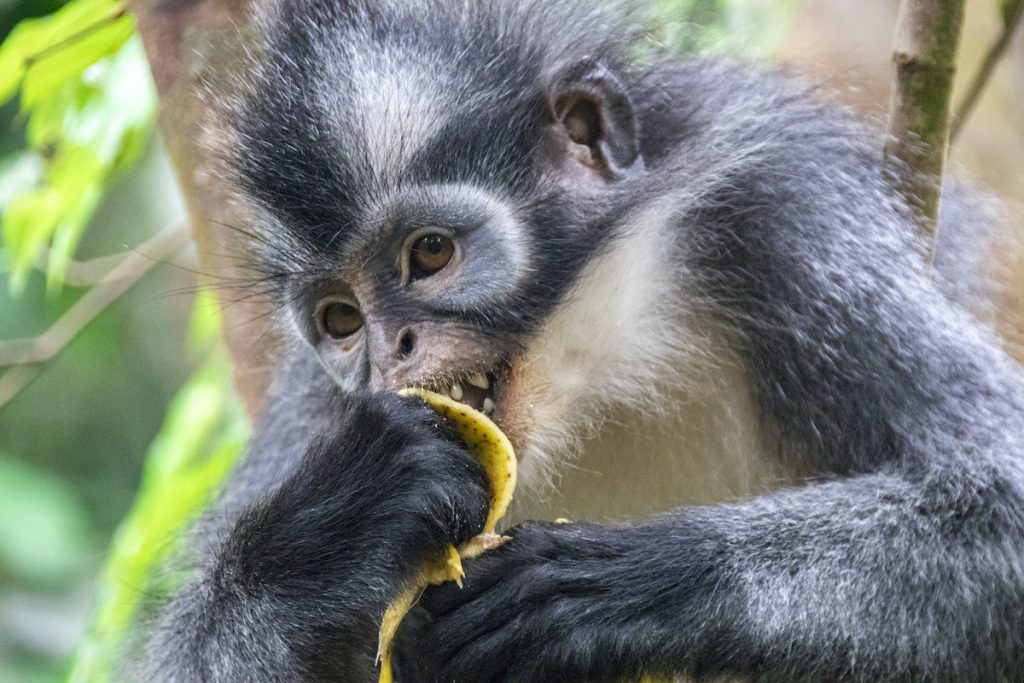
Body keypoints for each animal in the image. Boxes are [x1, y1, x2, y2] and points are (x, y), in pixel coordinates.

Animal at [140, 1, 1024, 683]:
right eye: (341, 320)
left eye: (430, 254)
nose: (393, 350)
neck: (601, 356)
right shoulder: (323, 401)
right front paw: (342, 517)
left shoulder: (782, 211)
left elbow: (1000, 503)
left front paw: (620, 586)